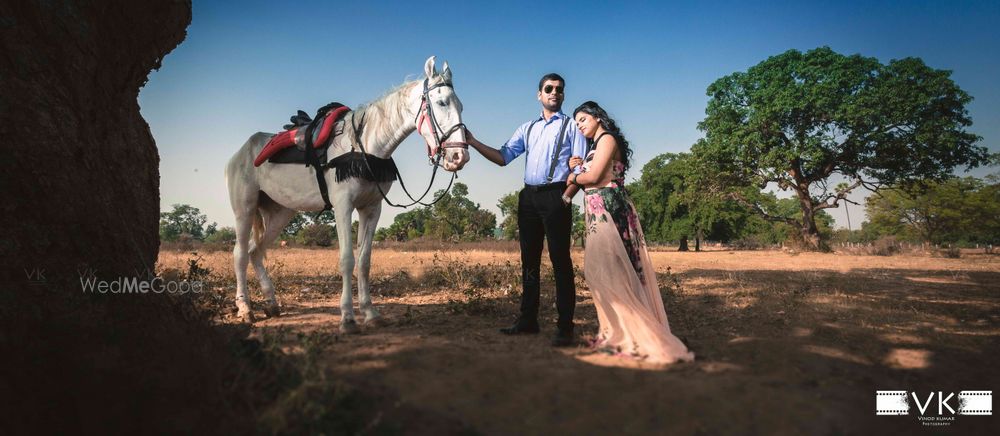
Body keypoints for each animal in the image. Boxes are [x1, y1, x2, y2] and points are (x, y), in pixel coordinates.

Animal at [227, 56, 468, 332]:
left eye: (460, 105)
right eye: (441, 102)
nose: (459, 156)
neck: (365, 147)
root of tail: (240, 152)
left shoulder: (372, 208)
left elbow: (364, 262)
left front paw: (370, 313)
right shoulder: (343, 206)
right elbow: (347, 260)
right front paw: (348, 317)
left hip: (281, 213)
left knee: (255, 252)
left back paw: (271, 303)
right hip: (244, 209)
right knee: (240, 254)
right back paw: (245, 308)